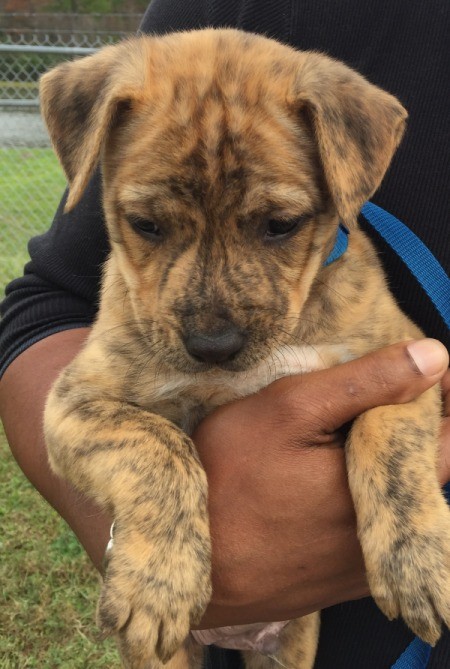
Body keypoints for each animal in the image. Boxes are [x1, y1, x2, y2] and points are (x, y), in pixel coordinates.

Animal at [40, 27, 448, 668]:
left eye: (281, 225)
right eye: (145, 224)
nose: (214, 345)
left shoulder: (409, 359)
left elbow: (385, 434)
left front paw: (419, 566)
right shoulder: (75, 402)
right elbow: (158, 446)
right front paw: (159, 582)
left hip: (290, 646)